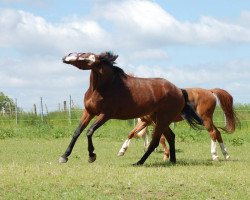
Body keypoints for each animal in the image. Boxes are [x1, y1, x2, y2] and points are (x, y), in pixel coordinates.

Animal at [59, 52, 203, 166]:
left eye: (87, 56)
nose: (66, 57)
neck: (103, 87)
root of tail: (179, 90)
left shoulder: (105, 115)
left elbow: (89, 131)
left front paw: (92, 156)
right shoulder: (89, 112)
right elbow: (77, 132)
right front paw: (64, 156)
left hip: (162, 119)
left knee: (155, 141)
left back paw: (139, 162)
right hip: (159, 119)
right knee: (170, 137)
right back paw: (172, 160)